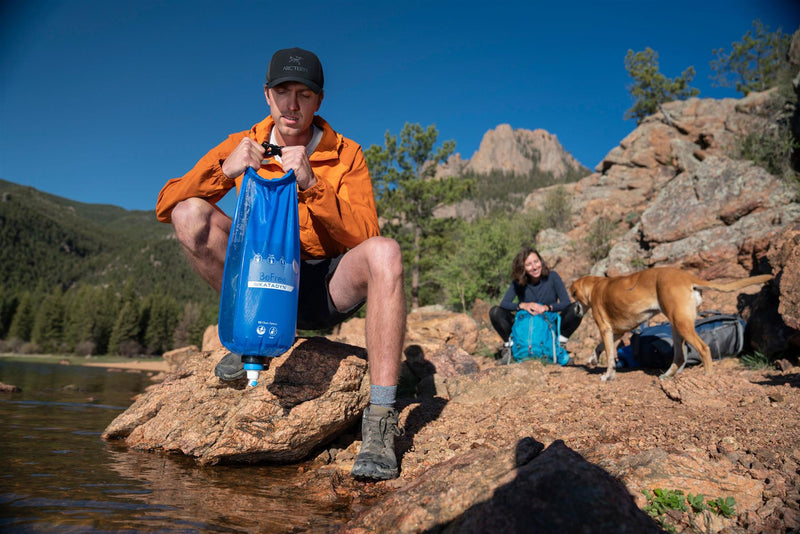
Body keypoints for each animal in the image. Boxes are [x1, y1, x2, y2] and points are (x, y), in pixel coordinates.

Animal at [564, 270, 772, 384]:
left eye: (574, 295)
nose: (574, 309)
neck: (596, 286)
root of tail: (687, 277)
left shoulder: (606, 329)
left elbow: (609, 357)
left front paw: (608, 376)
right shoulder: (617, 331)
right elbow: (599, 346)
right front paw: (593, 358)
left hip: (681, 324)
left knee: (704, 348)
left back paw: (707, 376)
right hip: (677, 325)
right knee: (680, 357)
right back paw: (667, 375)